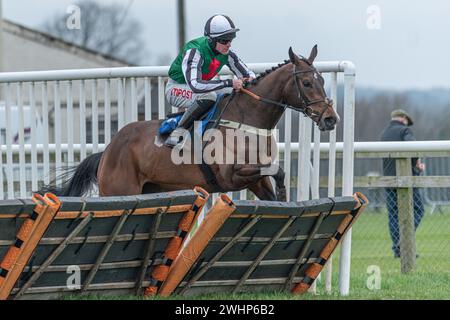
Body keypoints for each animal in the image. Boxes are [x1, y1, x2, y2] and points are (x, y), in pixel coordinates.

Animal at [41, 45, 338, 200]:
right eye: (307, 82)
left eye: (322, 80)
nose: (330, 118)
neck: (247, 120)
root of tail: (107, 151)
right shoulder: (231, 175)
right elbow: (275, 171)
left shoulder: (256, 181)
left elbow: (275, 177)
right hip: (118, 190)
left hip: (150, 188)